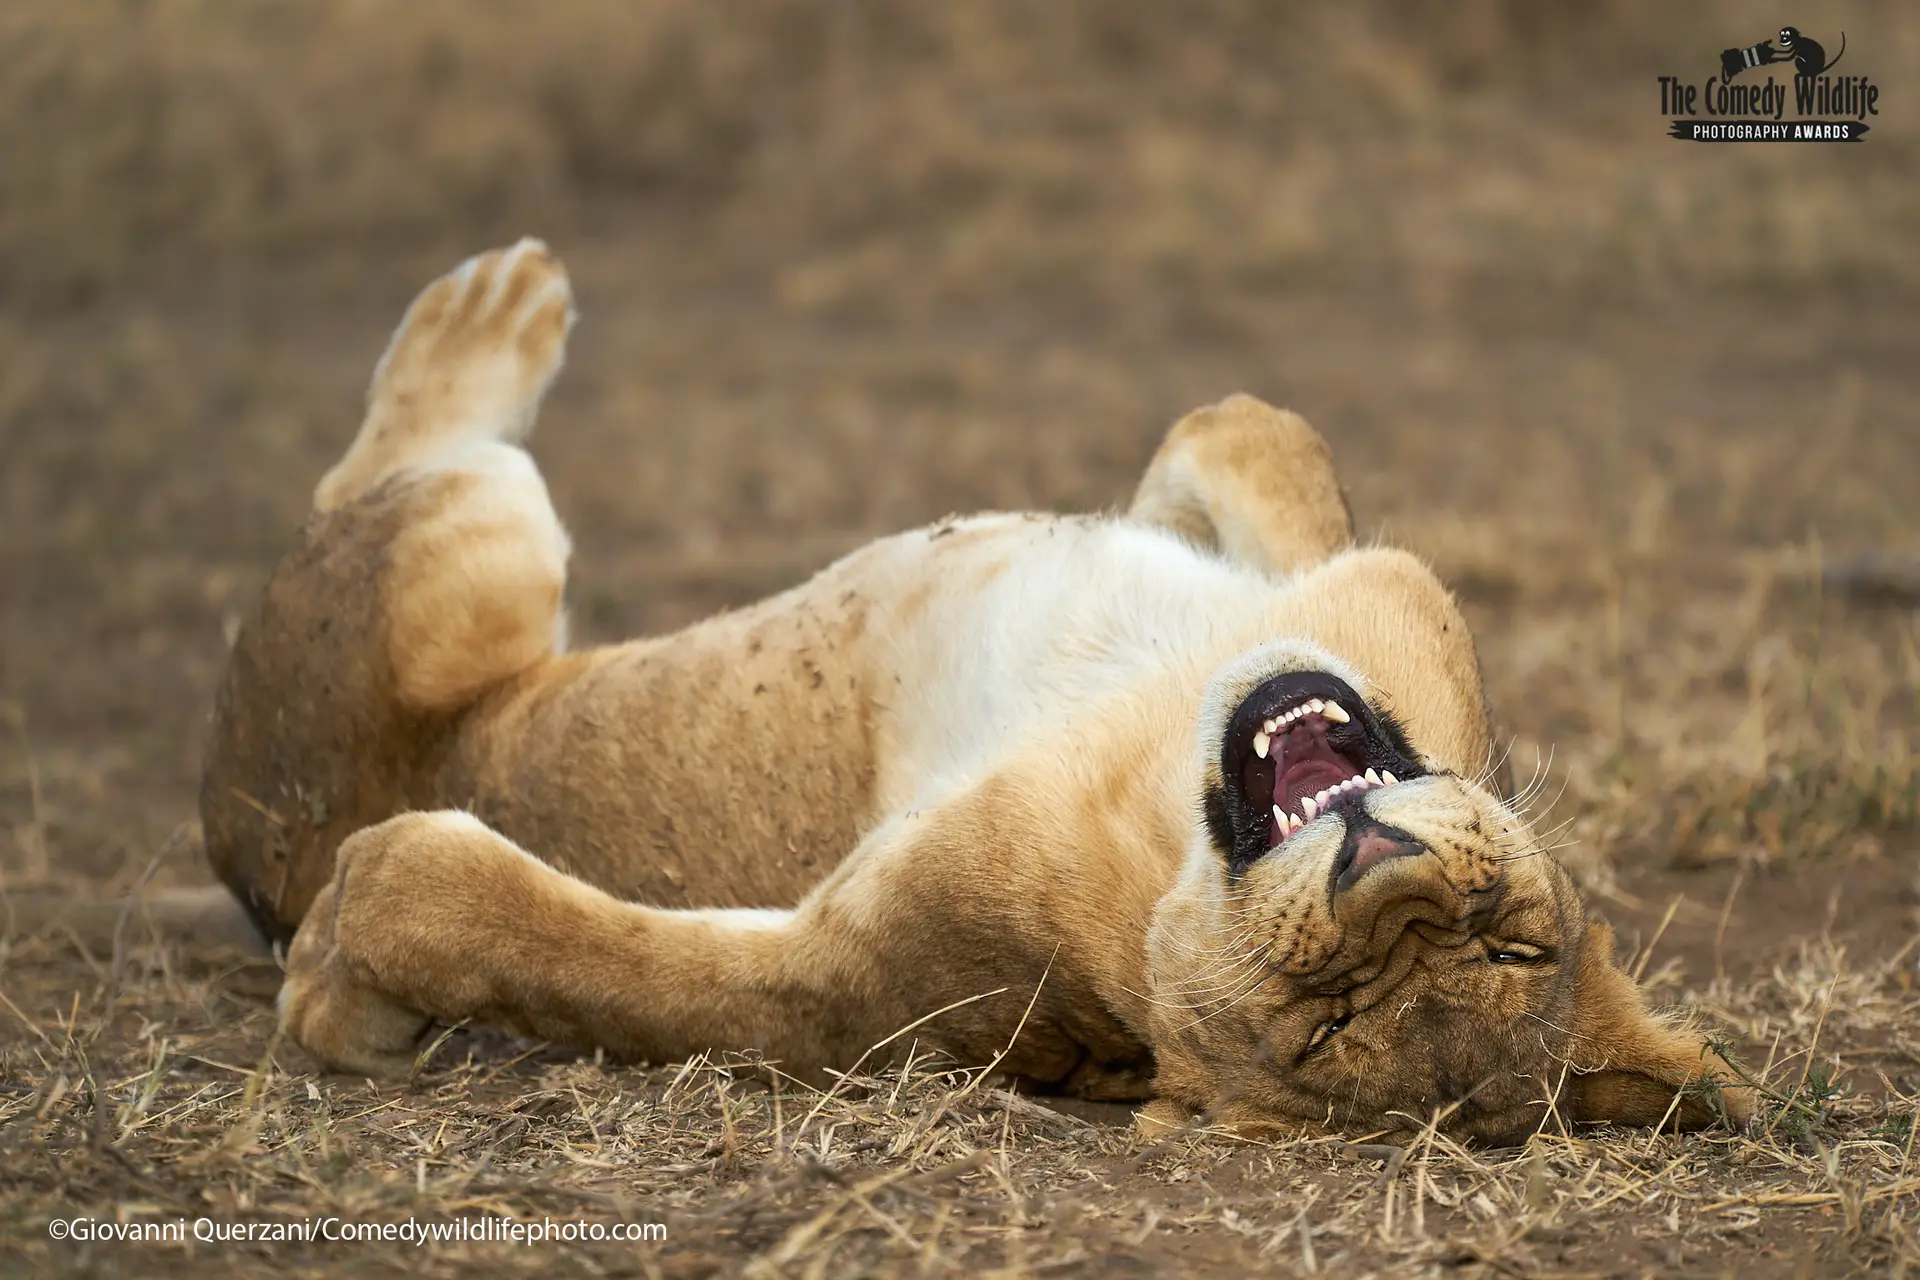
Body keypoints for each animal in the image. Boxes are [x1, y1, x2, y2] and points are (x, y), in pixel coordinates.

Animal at [202, 239, 1751, 1143]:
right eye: (1516, 945)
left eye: (1327, 1027)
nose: (1392, 879)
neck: (1160, 782)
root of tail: (235, 841)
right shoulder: (1350, 584)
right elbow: (1255, 429)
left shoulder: (853, 984)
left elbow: (571, 951)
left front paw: (344, 971)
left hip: (468, 551)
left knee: (396, 479)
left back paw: (488, 313)